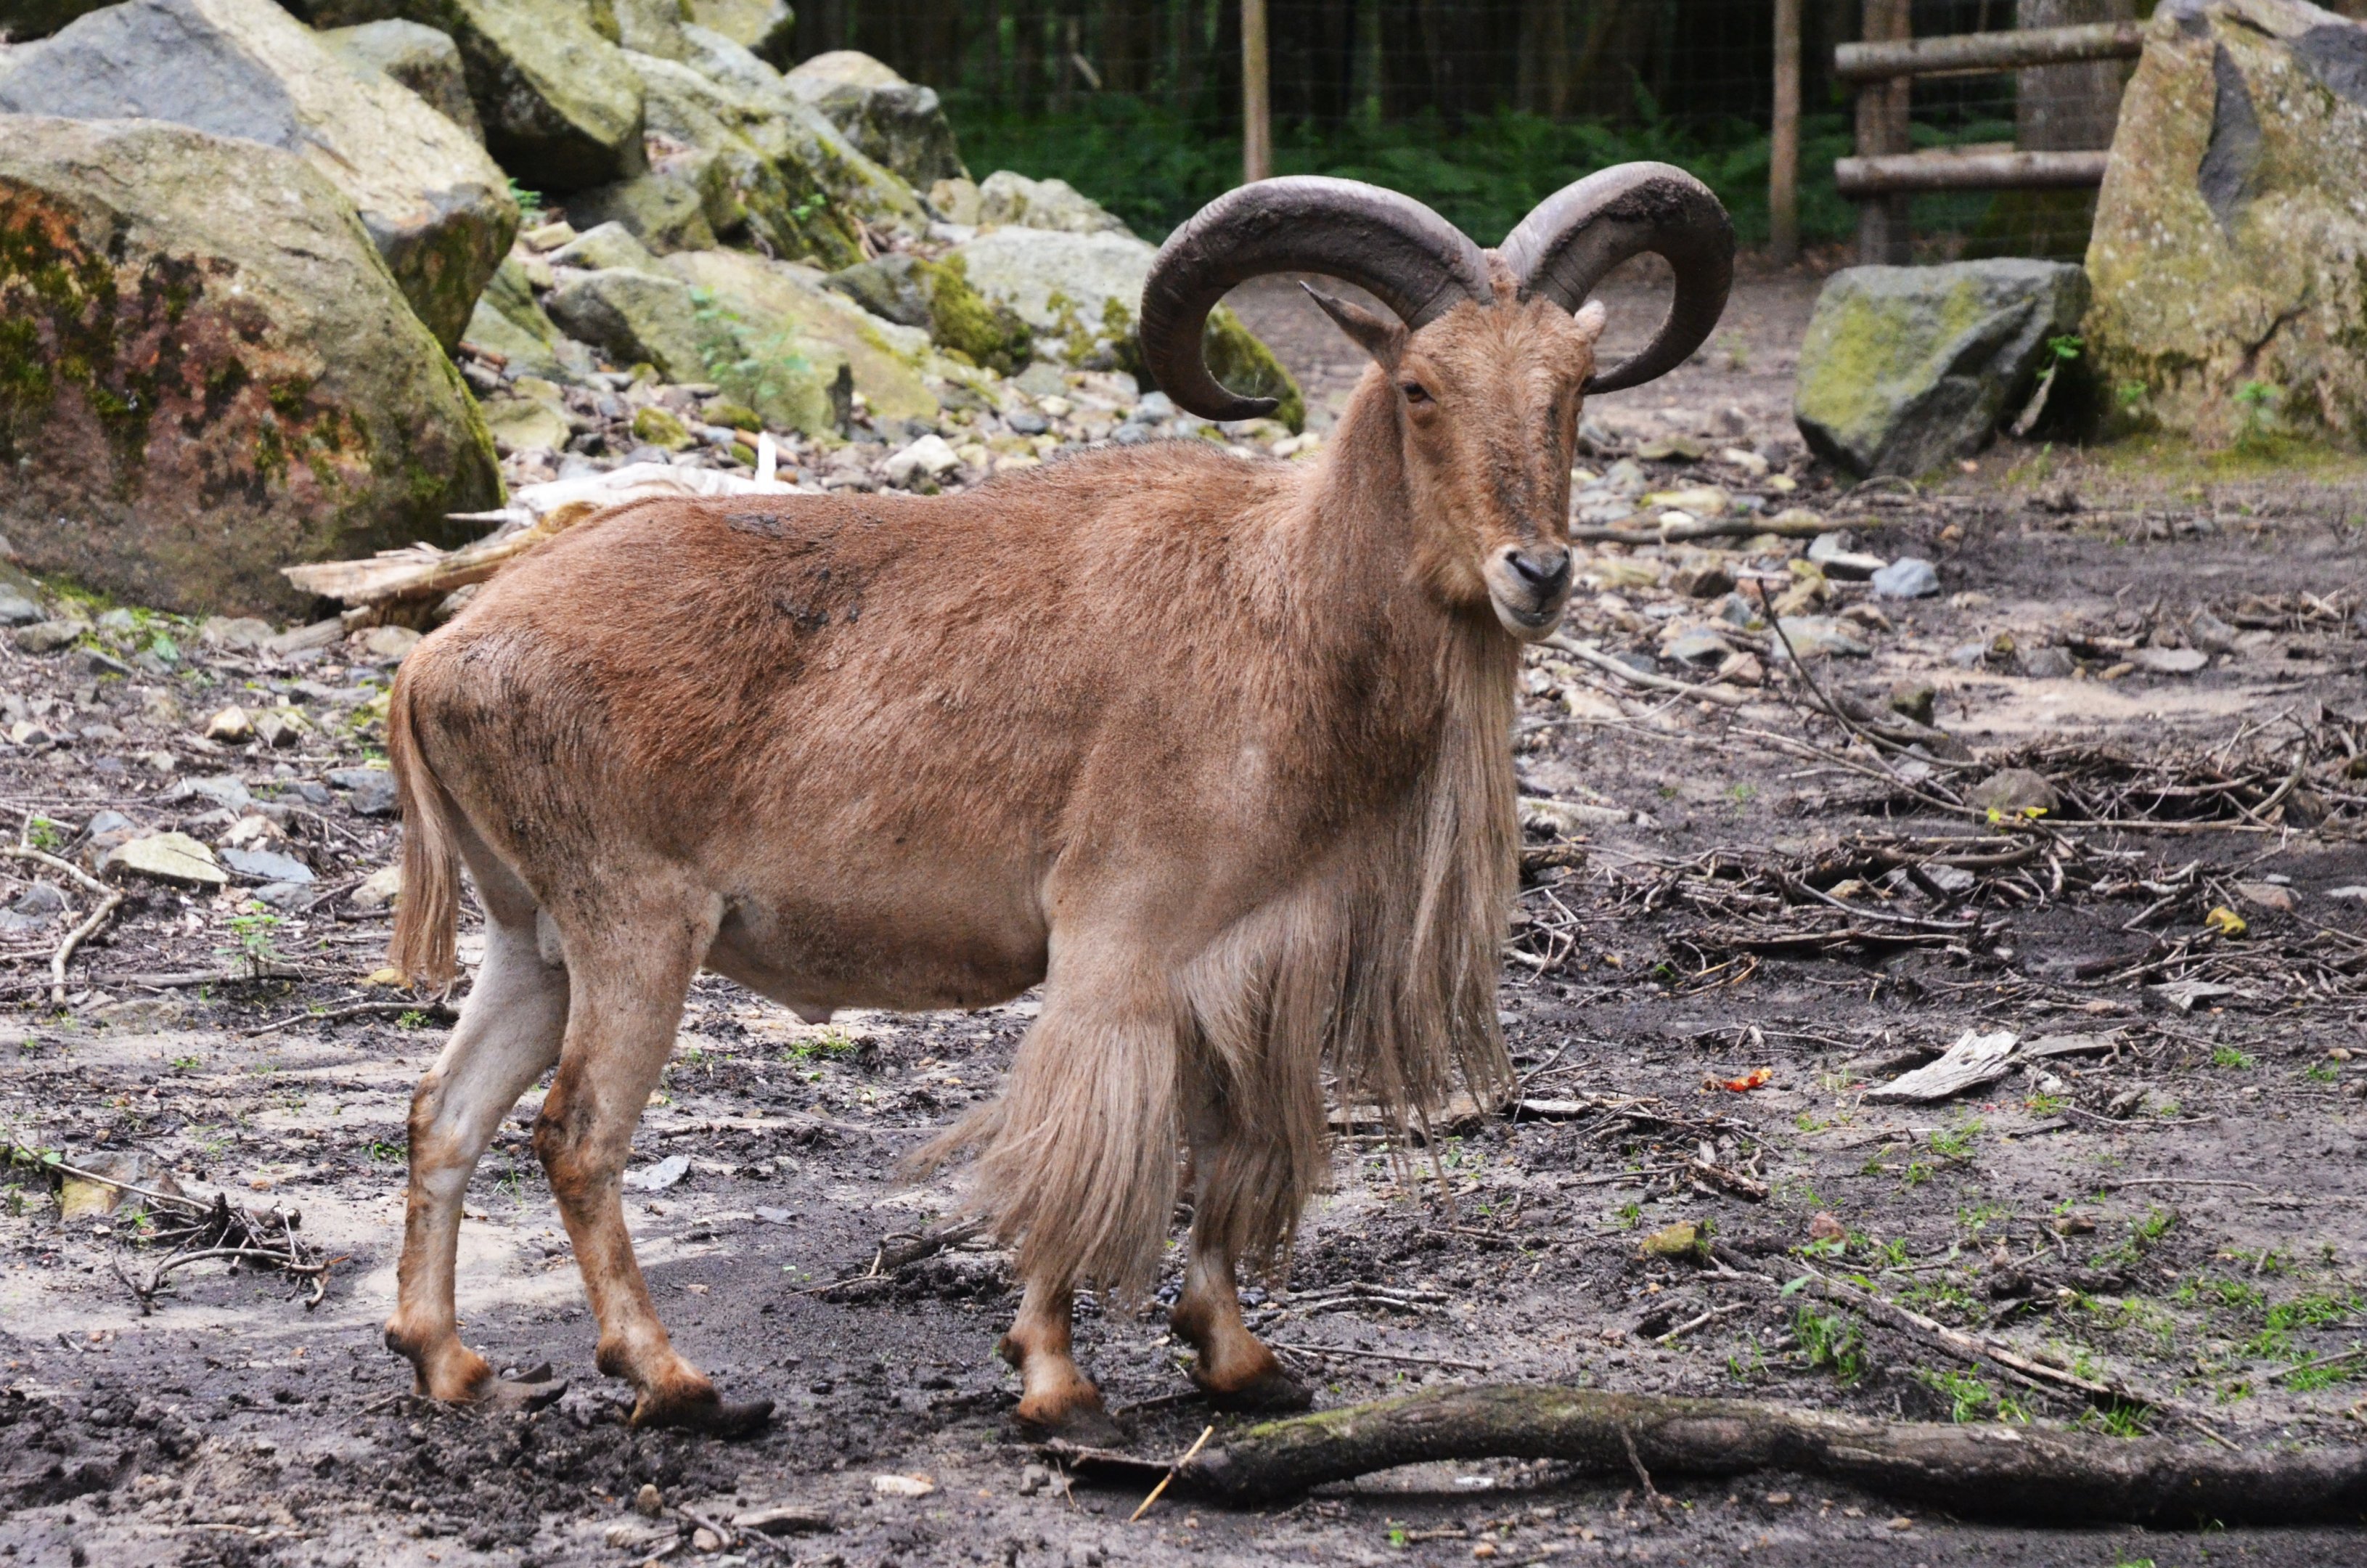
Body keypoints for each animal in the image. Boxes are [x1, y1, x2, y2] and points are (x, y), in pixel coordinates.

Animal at [377, 164, 1732, 1441]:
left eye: (1572, 388)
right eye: (1419, 388)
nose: (1536, 572)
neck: (1281, 605)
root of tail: (436, 658)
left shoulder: (1246, 957)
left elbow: (1228, 1145)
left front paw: (1239, 1359)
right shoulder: (1118, 938)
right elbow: (1085, 1148)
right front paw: (1054, 1381)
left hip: (534, 941)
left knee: (444, 1112)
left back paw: (450, 1363)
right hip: (637, 925)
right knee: (578, 1136)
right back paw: (674, 1381)